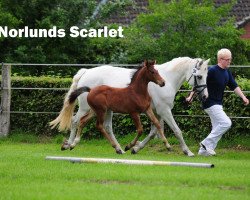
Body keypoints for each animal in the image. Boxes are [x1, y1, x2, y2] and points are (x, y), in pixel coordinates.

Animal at [50, 56, 209, 156]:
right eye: (199, 76)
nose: (205, 96)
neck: (168, 79)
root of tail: (86, 72)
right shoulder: (164, 111)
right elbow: (176, 130)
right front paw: (188, 152)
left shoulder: (155, 111)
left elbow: (153, 132)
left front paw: (135, 148)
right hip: (87, 108)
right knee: (75, 121)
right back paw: (69, 144)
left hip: (104, 110)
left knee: (105, 127)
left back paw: (119, 149)